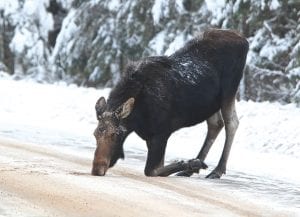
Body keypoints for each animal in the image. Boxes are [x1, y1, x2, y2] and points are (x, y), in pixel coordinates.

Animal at [91, 29, 248, 178]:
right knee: (216, 124)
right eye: (95, 134)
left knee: (232, 123)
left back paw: (217, 170)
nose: (96, 169)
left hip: (228, 92)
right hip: (211, 103)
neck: (136, 118)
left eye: (115, 134)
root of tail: (244, 40)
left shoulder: (162, 133)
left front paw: (190, 163)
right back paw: (191, 169)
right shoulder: (151, 136)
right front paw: (192, 164)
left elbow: (151, 170)